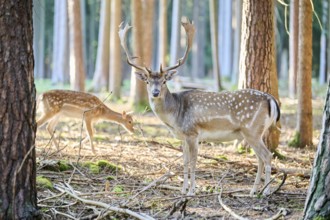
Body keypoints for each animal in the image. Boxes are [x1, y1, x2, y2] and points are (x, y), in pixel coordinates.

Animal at [120, 21, 280, 196]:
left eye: (164, 81)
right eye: (148, 81)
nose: (155, 93)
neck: (175, 116)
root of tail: (271, 99)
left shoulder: (192, 133)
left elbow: (193, 162)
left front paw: (191, 191)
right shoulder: (183, 137)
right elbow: (184, 162)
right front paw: (183, 190)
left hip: (251, 130)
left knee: (267, 155)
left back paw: (266, 191)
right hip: (255, 132)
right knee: (260, 158)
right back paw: (253, 191)